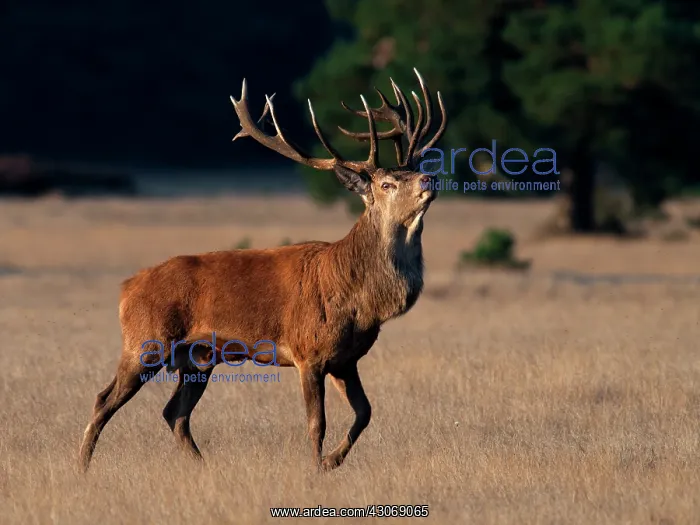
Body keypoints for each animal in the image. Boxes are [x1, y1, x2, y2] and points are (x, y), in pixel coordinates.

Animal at [78, 68, 447, 473]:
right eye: (387, 183)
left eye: (415, 170)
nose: (430, 179)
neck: (358, 300)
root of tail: (126, 288)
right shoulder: (308, 351)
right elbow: (317, 423)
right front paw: (315, 467)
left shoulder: (346, 359)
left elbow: (365, 412)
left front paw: (332, 461)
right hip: (146, 342)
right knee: (103, 400)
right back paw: (82, 467)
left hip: (198, 356)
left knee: (174, 412)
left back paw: (202, 466)